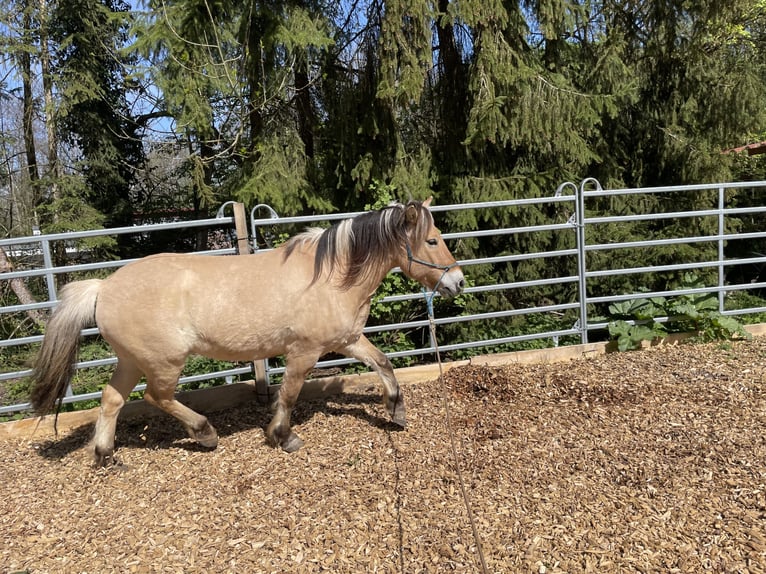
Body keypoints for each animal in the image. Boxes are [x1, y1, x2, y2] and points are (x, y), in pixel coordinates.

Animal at [31, 200, 468, 466]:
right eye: (432, 240)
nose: (458, 282)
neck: (332, 276)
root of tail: (103, 287)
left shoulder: (345, 341)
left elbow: (384, 365)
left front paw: (397, 412)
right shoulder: (305, 351)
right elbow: (289, 395)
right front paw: (283, 437)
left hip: (131, 360)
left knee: (111, 400)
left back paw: (105, 455)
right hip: (163, 362)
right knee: (157, 397)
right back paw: (205, 434)